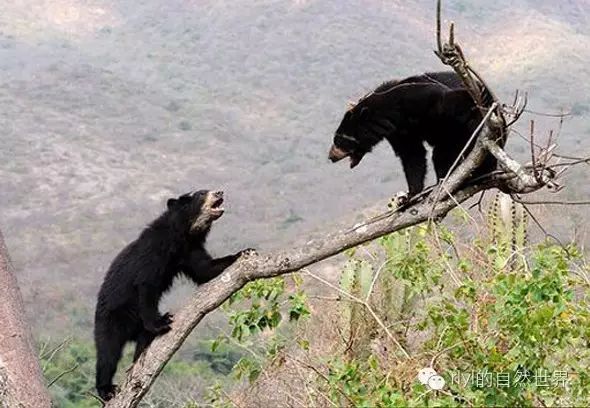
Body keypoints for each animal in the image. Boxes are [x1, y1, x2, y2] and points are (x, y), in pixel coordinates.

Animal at [95, 190, 252, 400]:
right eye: (202, 194)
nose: (220, 192)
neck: (182, 235)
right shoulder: (154, 252)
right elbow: (146, 285)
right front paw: (161, 322)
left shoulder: (189, 249)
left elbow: (204, 269)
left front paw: (244, 252)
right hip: (111, 319)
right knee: (108, 354)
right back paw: (106, 389)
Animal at [328, 71, 508, 197]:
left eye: (339, 139)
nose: (331, 157)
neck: (394, 114)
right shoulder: (399, 132)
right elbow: (412, 155)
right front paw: (410, 194)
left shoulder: (422, 98)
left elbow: (451, 99)